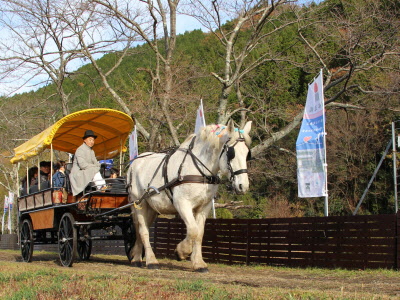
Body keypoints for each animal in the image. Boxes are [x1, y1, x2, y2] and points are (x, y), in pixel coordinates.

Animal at [126, 119, 250, 272]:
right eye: (231, 153)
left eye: (247, 153)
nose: (243, 186)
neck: (199, 170)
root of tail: (134, 162)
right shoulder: (182, 204)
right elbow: (193, 230)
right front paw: (181, 252)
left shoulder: (204, 207)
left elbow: (199, 233)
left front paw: (198, 263)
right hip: (140, 203)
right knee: (143, 230)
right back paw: (151, 261)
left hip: (152, 208)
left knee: (139, 229)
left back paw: (136, 258)